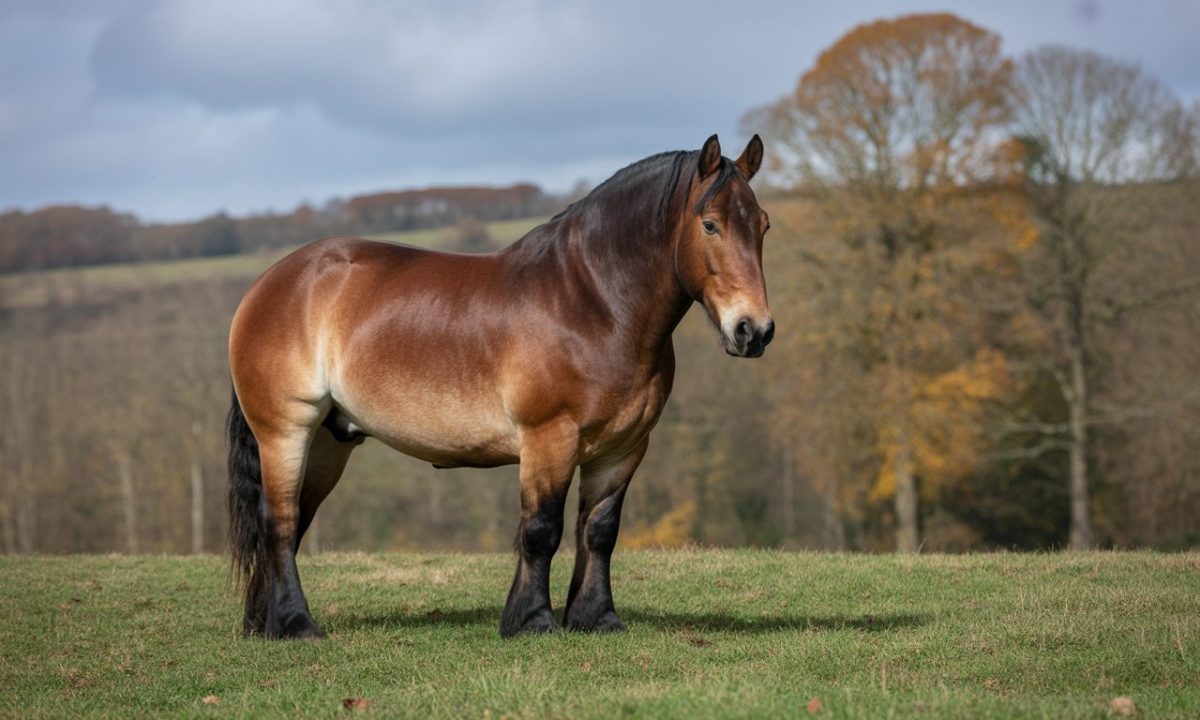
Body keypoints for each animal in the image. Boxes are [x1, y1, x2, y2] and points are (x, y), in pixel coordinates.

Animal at [226, 133, 775, 639]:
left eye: (763, 224)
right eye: (710, 224)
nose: (754, 331)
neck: (592, 303)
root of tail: (266, 285)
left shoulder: (622, 449)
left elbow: (599, 531)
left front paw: (596, 618)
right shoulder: (550, 439)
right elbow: (541, 529)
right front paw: (531, 620)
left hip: (328, 442)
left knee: (294, 522)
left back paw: (265, 622)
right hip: (286, 431)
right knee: (278, 521)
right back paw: (297, 625)